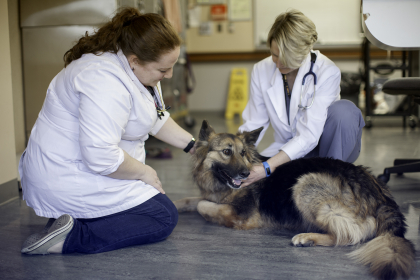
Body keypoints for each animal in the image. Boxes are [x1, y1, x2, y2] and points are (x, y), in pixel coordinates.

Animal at [175, 120, 416, 280]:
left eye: (243, 153)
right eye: (226, 151)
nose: (246, 173)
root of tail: (382, 196)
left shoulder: (240, 216)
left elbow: (203, 205)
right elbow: (190, 199)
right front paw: (172, 203)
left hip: (304, 183)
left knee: (346, 236)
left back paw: (307, 237)